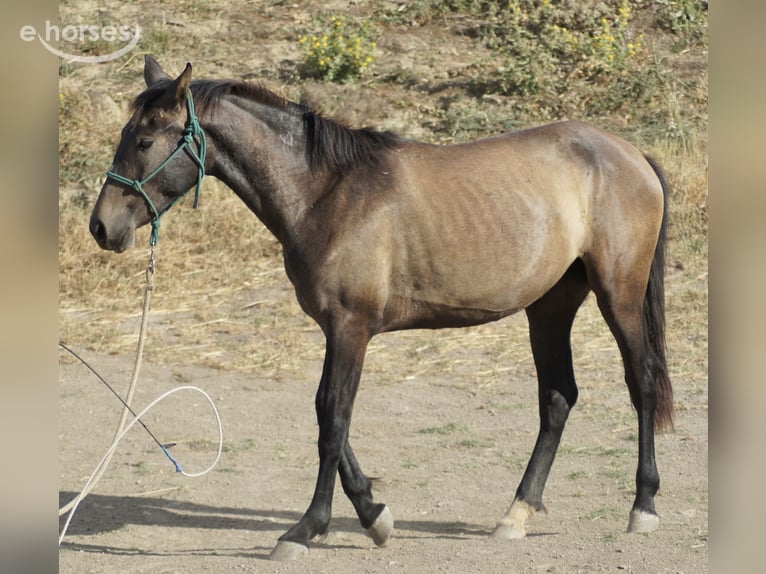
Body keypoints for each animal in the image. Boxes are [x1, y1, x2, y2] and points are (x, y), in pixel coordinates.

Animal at [89, 56, 673, 561]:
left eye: (144, 140)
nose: (101, 226)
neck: (327, 193)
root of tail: (631, 154)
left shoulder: (351, 326)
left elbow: (333, 417)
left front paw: (306, 529)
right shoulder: (338, 329)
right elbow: (329, 414)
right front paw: (374, 515)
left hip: (618, 294)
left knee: (641, 382)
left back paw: (643, 506)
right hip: (550, 306)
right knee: (557, 398)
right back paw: (517, 513)